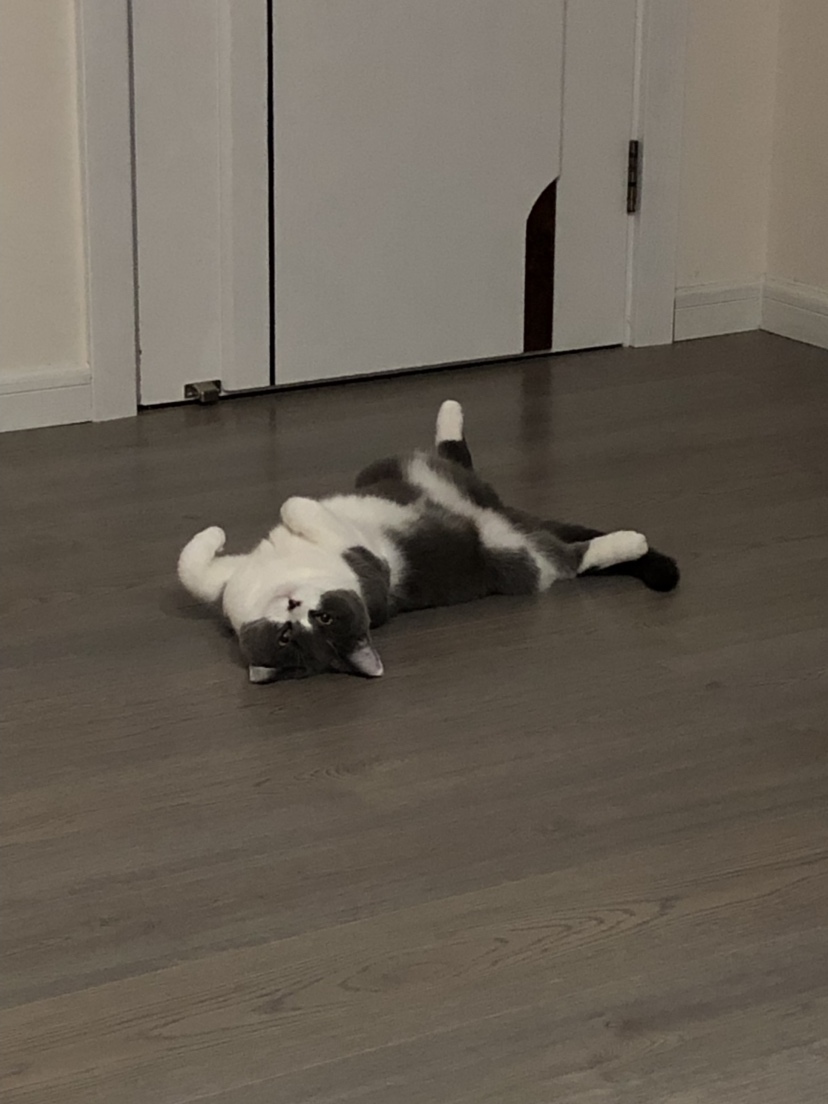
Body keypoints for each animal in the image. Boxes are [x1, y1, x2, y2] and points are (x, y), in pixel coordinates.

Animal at [178, 400, 679, 683]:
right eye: (288, 637)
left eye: (323, 617)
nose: (294, 608)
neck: (281, 575)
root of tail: (497, 513)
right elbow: (202, 562)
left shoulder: (355, 564)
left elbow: (193, 566)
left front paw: (226, 529)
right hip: (518, 558)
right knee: (571, 558)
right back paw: (630, 542)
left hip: (390, 470)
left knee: (455, 458)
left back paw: (450, 414)